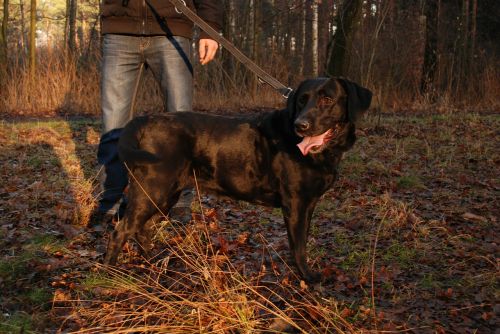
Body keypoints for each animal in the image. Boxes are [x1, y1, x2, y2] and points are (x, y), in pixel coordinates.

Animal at [104, 76, 372, 282]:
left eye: (327, 99)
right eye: (301, 101)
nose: (301, 125)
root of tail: (146, 120)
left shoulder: (309, 203)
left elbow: (302, 240)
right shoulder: (296, 204)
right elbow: (298, 246)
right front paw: (307, 277)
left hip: (166, 194)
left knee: (142, 228)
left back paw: (153, 261)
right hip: (154, 189)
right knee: (121, 230)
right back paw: (109, 272)